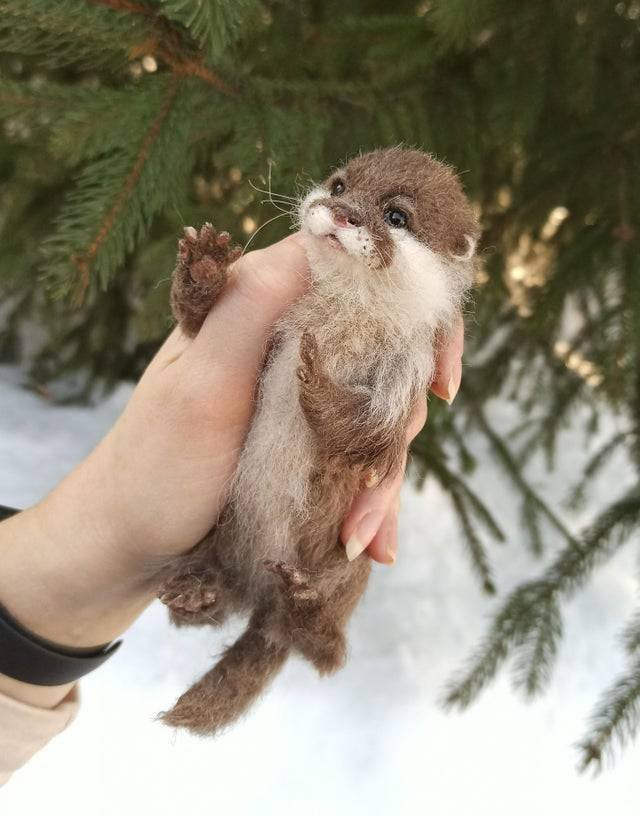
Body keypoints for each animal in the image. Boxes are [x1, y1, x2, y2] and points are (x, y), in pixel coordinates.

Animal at [155, 148, 478, 740]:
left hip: (354, 568)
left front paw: (317, 378)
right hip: (218, 537)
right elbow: (192, 321)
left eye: (396, 216)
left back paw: (304, 605)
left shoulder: (408, 375)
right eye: (340, 184)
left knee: (329, 654)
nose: (343, 213)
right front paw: (205, 267)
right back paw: (197, 590)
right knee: (200, 611)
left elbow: (371, 435)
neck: (343, 325)